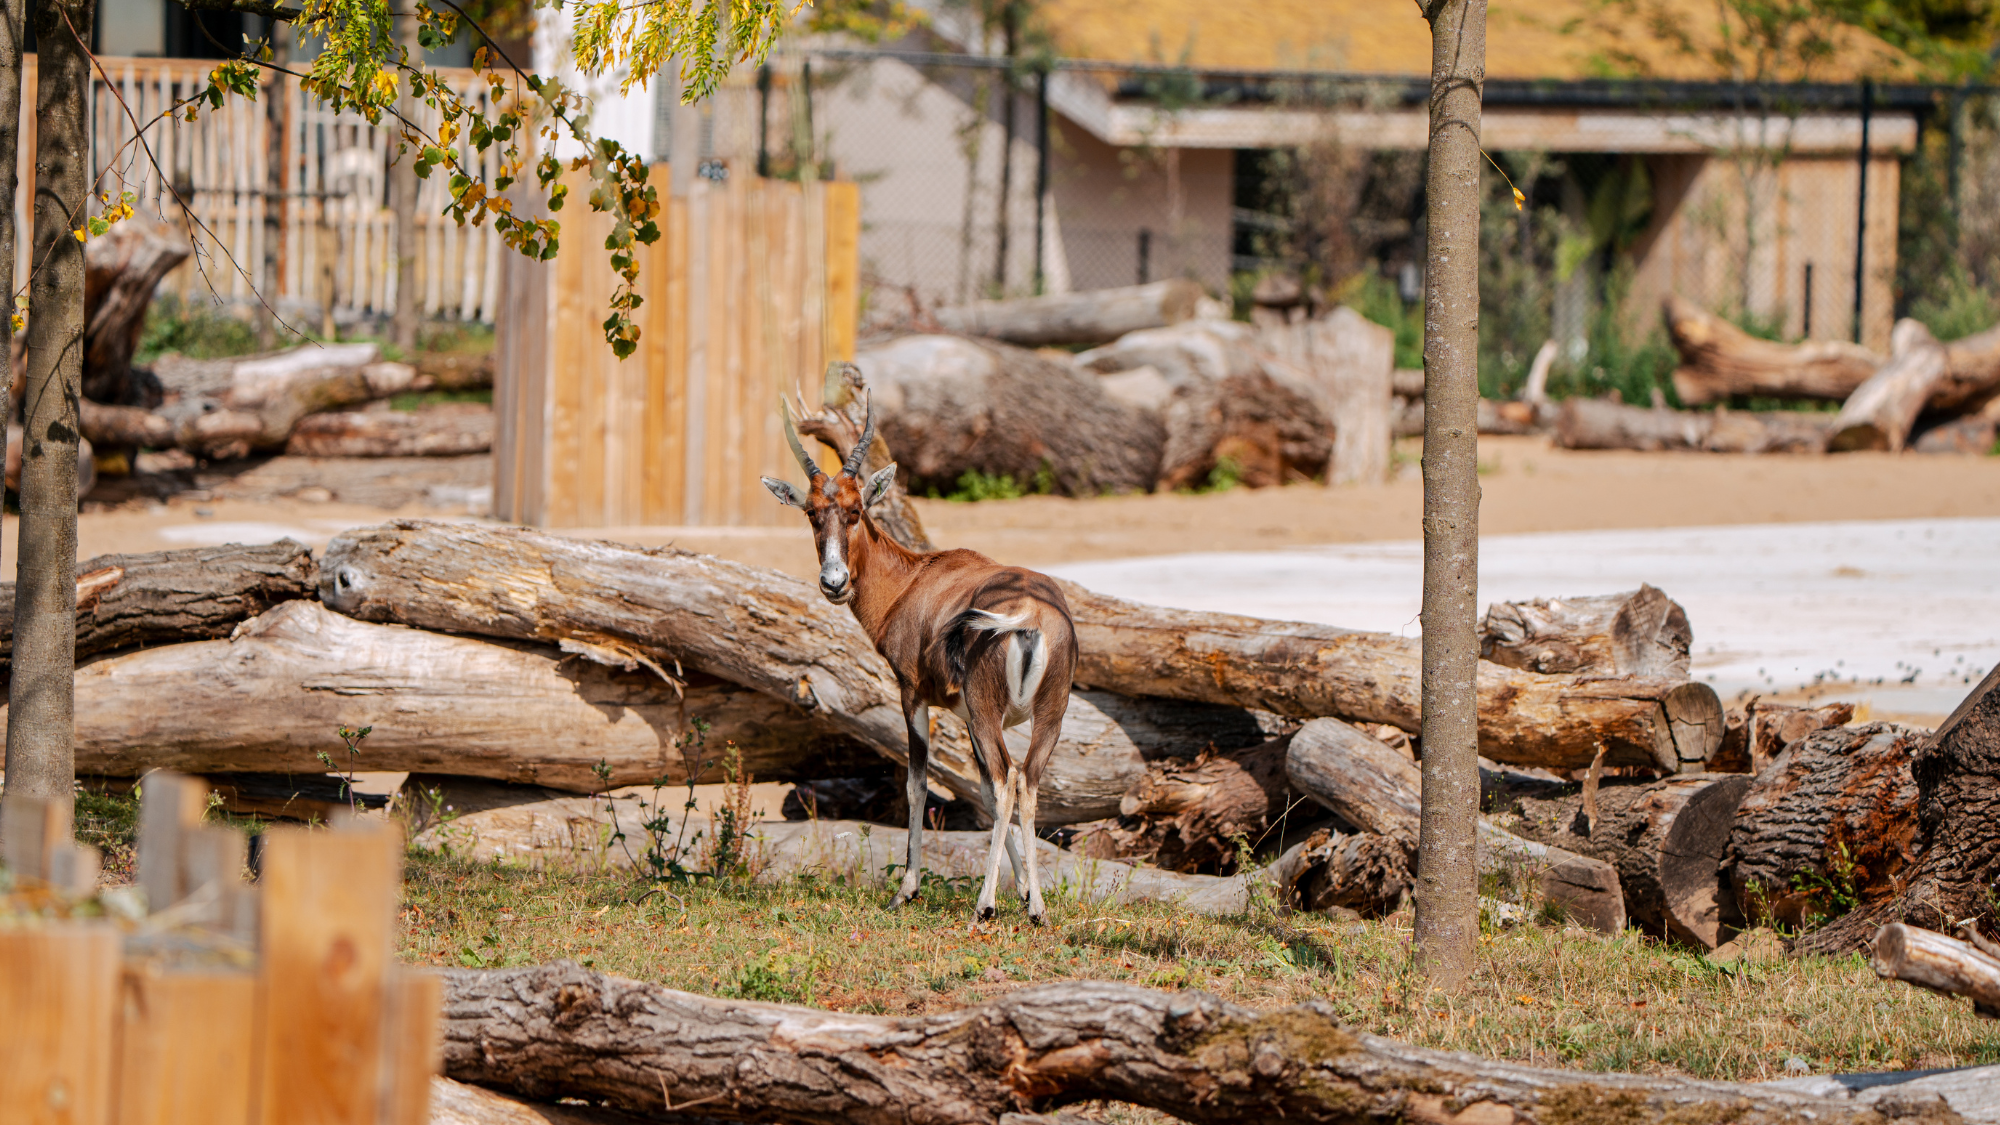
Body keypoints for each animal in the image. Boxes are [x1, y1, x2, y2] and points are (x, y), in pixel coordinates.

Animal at [761, 398, 1076, 924]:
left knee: (1008, 779)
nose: (834, 582)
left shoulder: (913, 696)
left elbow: (918, 784)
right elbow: (983, 793)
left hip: (990, 713)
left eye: (856, 510)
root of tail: (1030, 614)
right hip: (1046, 715)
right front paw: (1026, 891)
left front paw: (905, 890)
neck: (915, 580)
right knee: (1025, 781)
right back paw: (1038, 911)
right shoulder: (966, 715)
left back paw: (983, 907)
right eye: (811, 512)